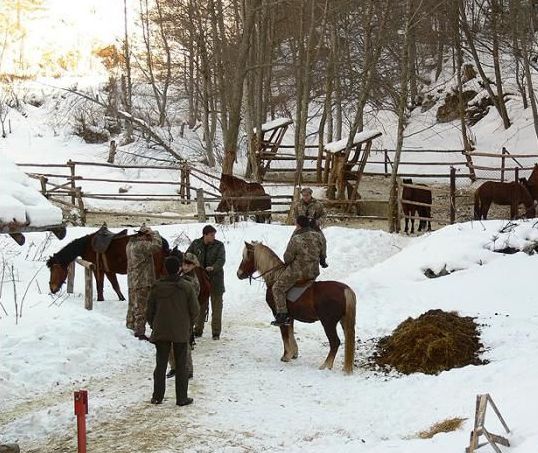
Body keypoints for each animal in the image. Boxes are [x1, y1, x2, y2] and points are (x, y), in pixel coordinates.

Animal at [236, 242, 356, 372]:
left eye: (246, 256)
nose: (238, 274)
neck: (275, 278)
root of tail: (345, 289)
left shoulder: (279, 316)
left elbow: (284, 335)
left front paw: (285, 356)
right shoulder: (290, 317)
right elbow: (290, 333)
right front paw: (294, 354)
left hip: (328, 323)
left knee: (335, 343)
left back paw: (325, 365)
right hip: (342, 321)